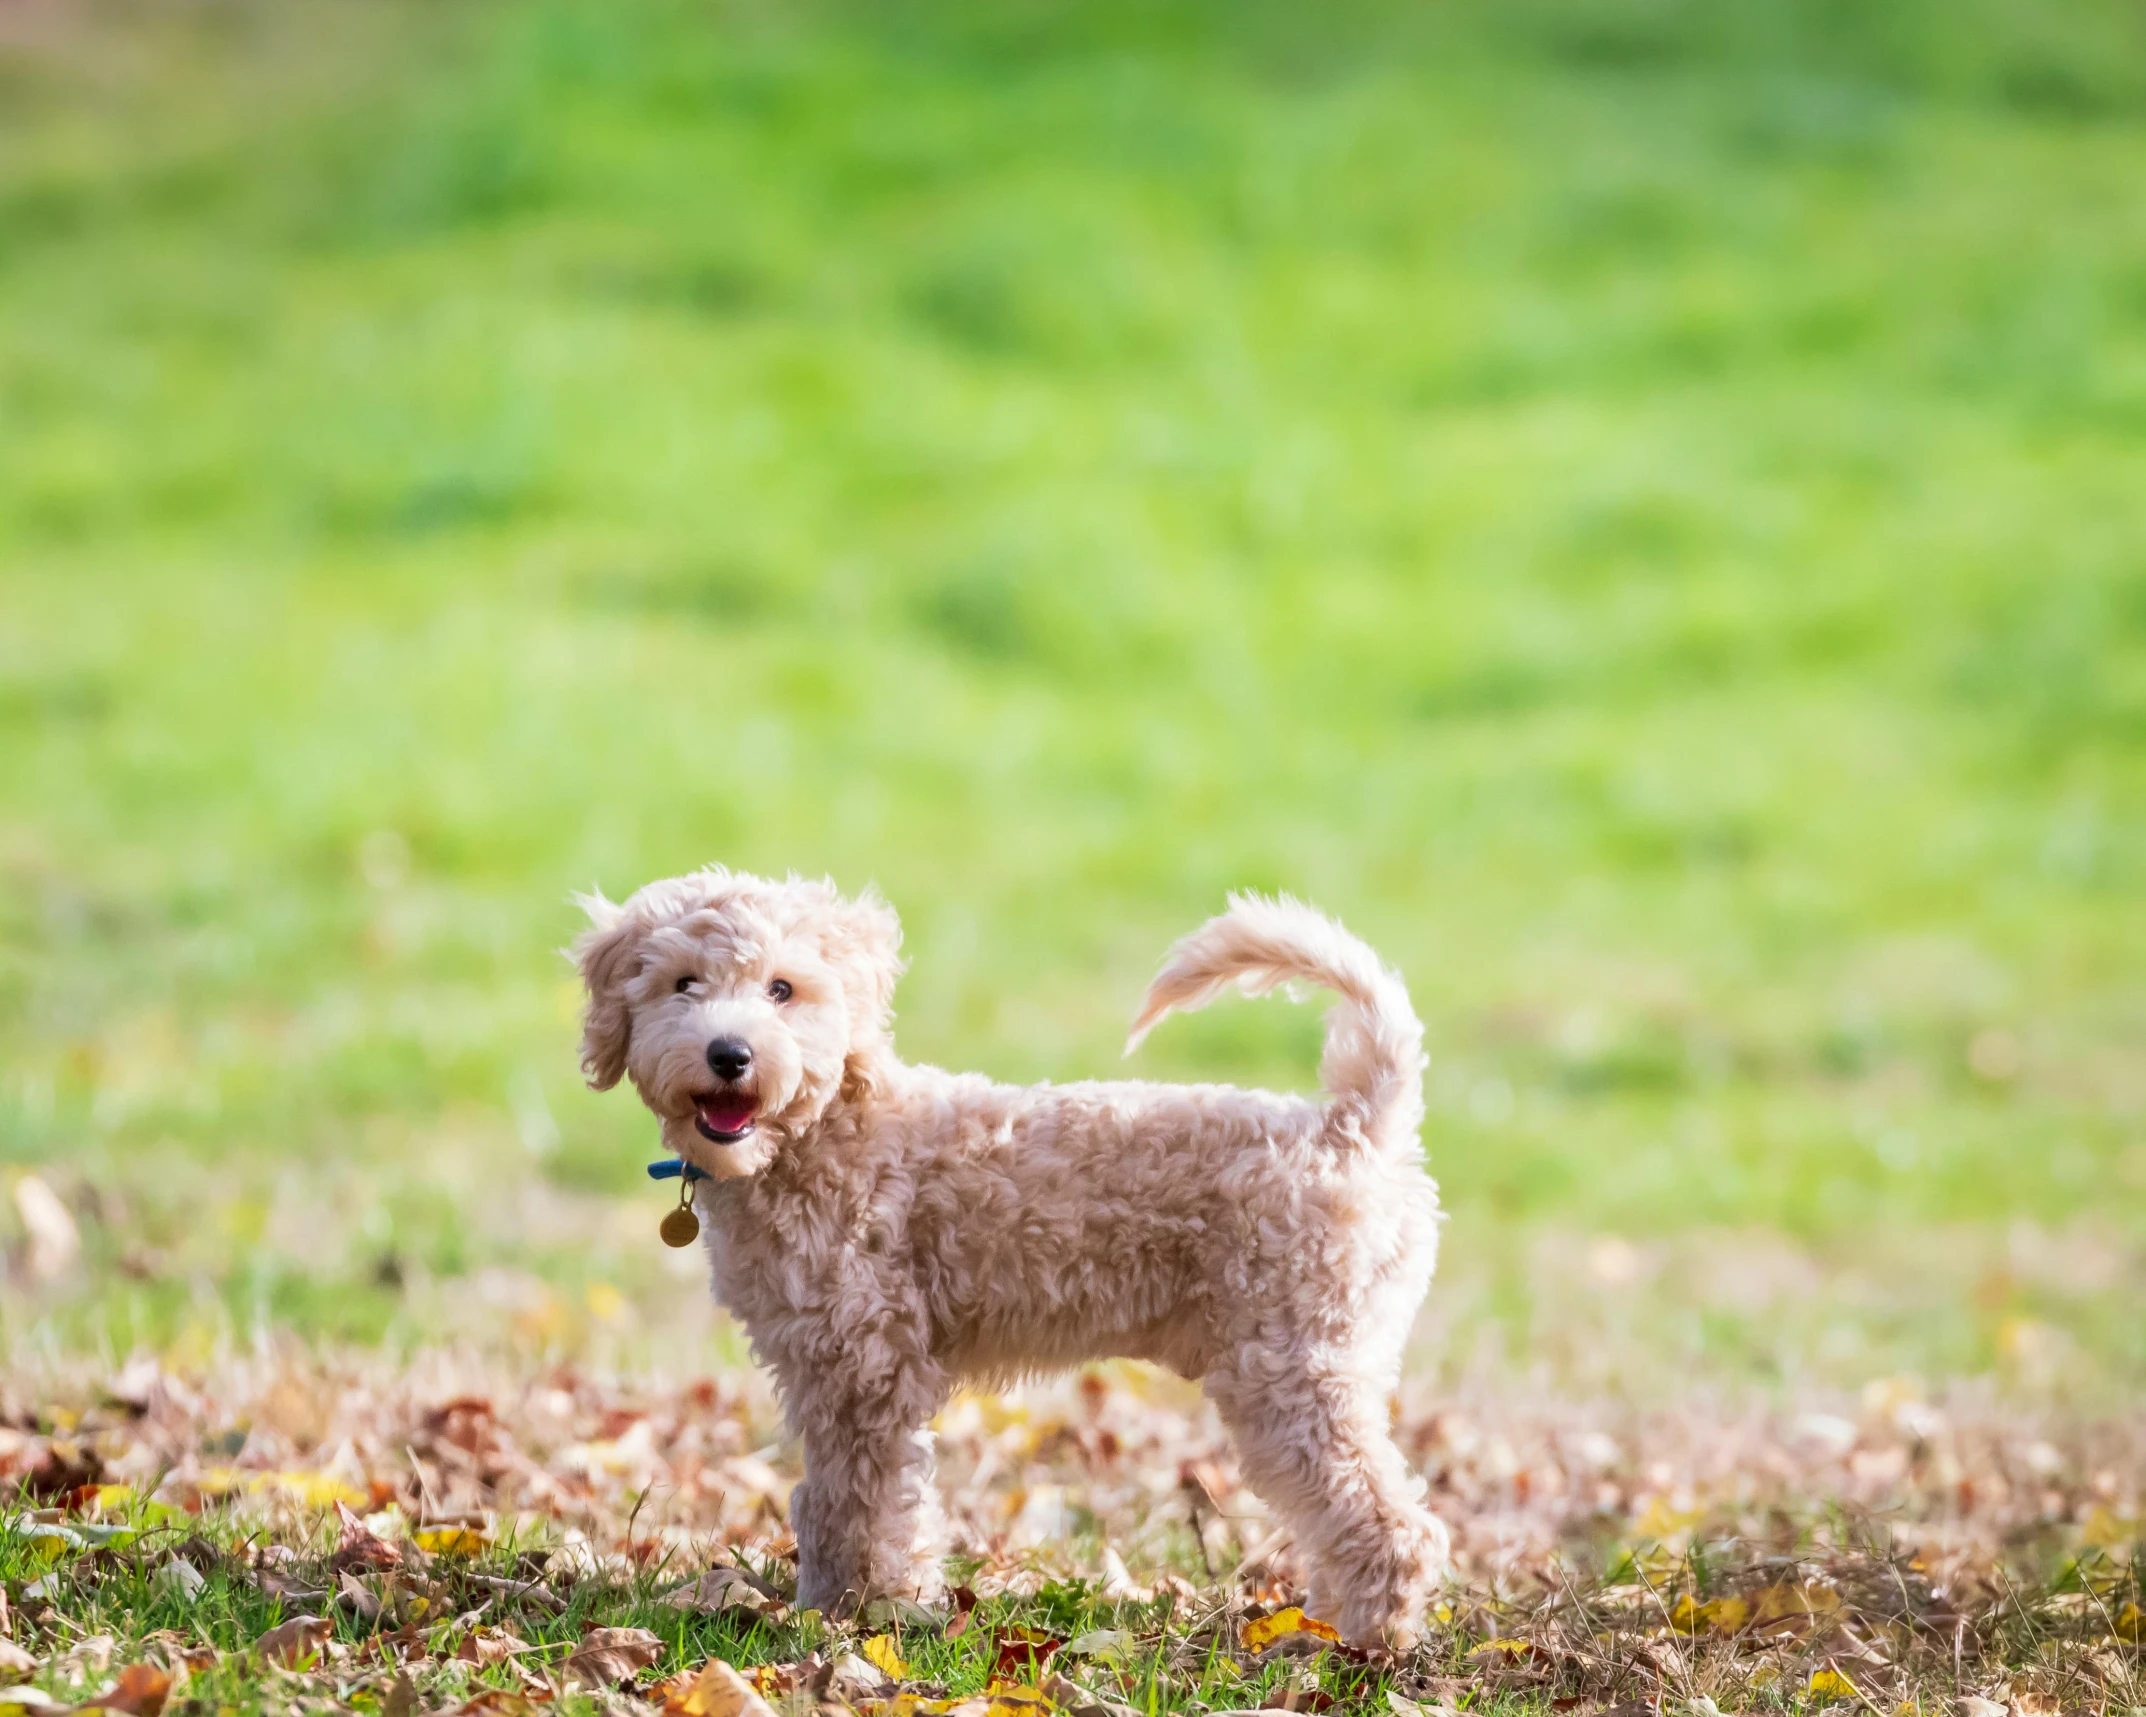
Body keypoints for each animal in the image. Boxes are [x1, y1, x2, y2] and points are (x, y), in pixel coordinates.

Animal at [570, 871, 1450, 1648]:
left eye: (782, 988)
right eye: (683, 983)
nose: (729, 1053)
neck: (824, 1131)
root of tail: (1354, 1124)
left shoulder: (868, 1367)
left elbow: (864, 1501)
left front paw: (867, 1614)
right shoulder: (821, 1365)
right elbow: (827, 1499)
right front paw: (828, 1605)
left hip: (1293, 1368)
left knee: (1391, 1521)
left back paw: (1358, 1643)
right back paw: (1325, 1623)